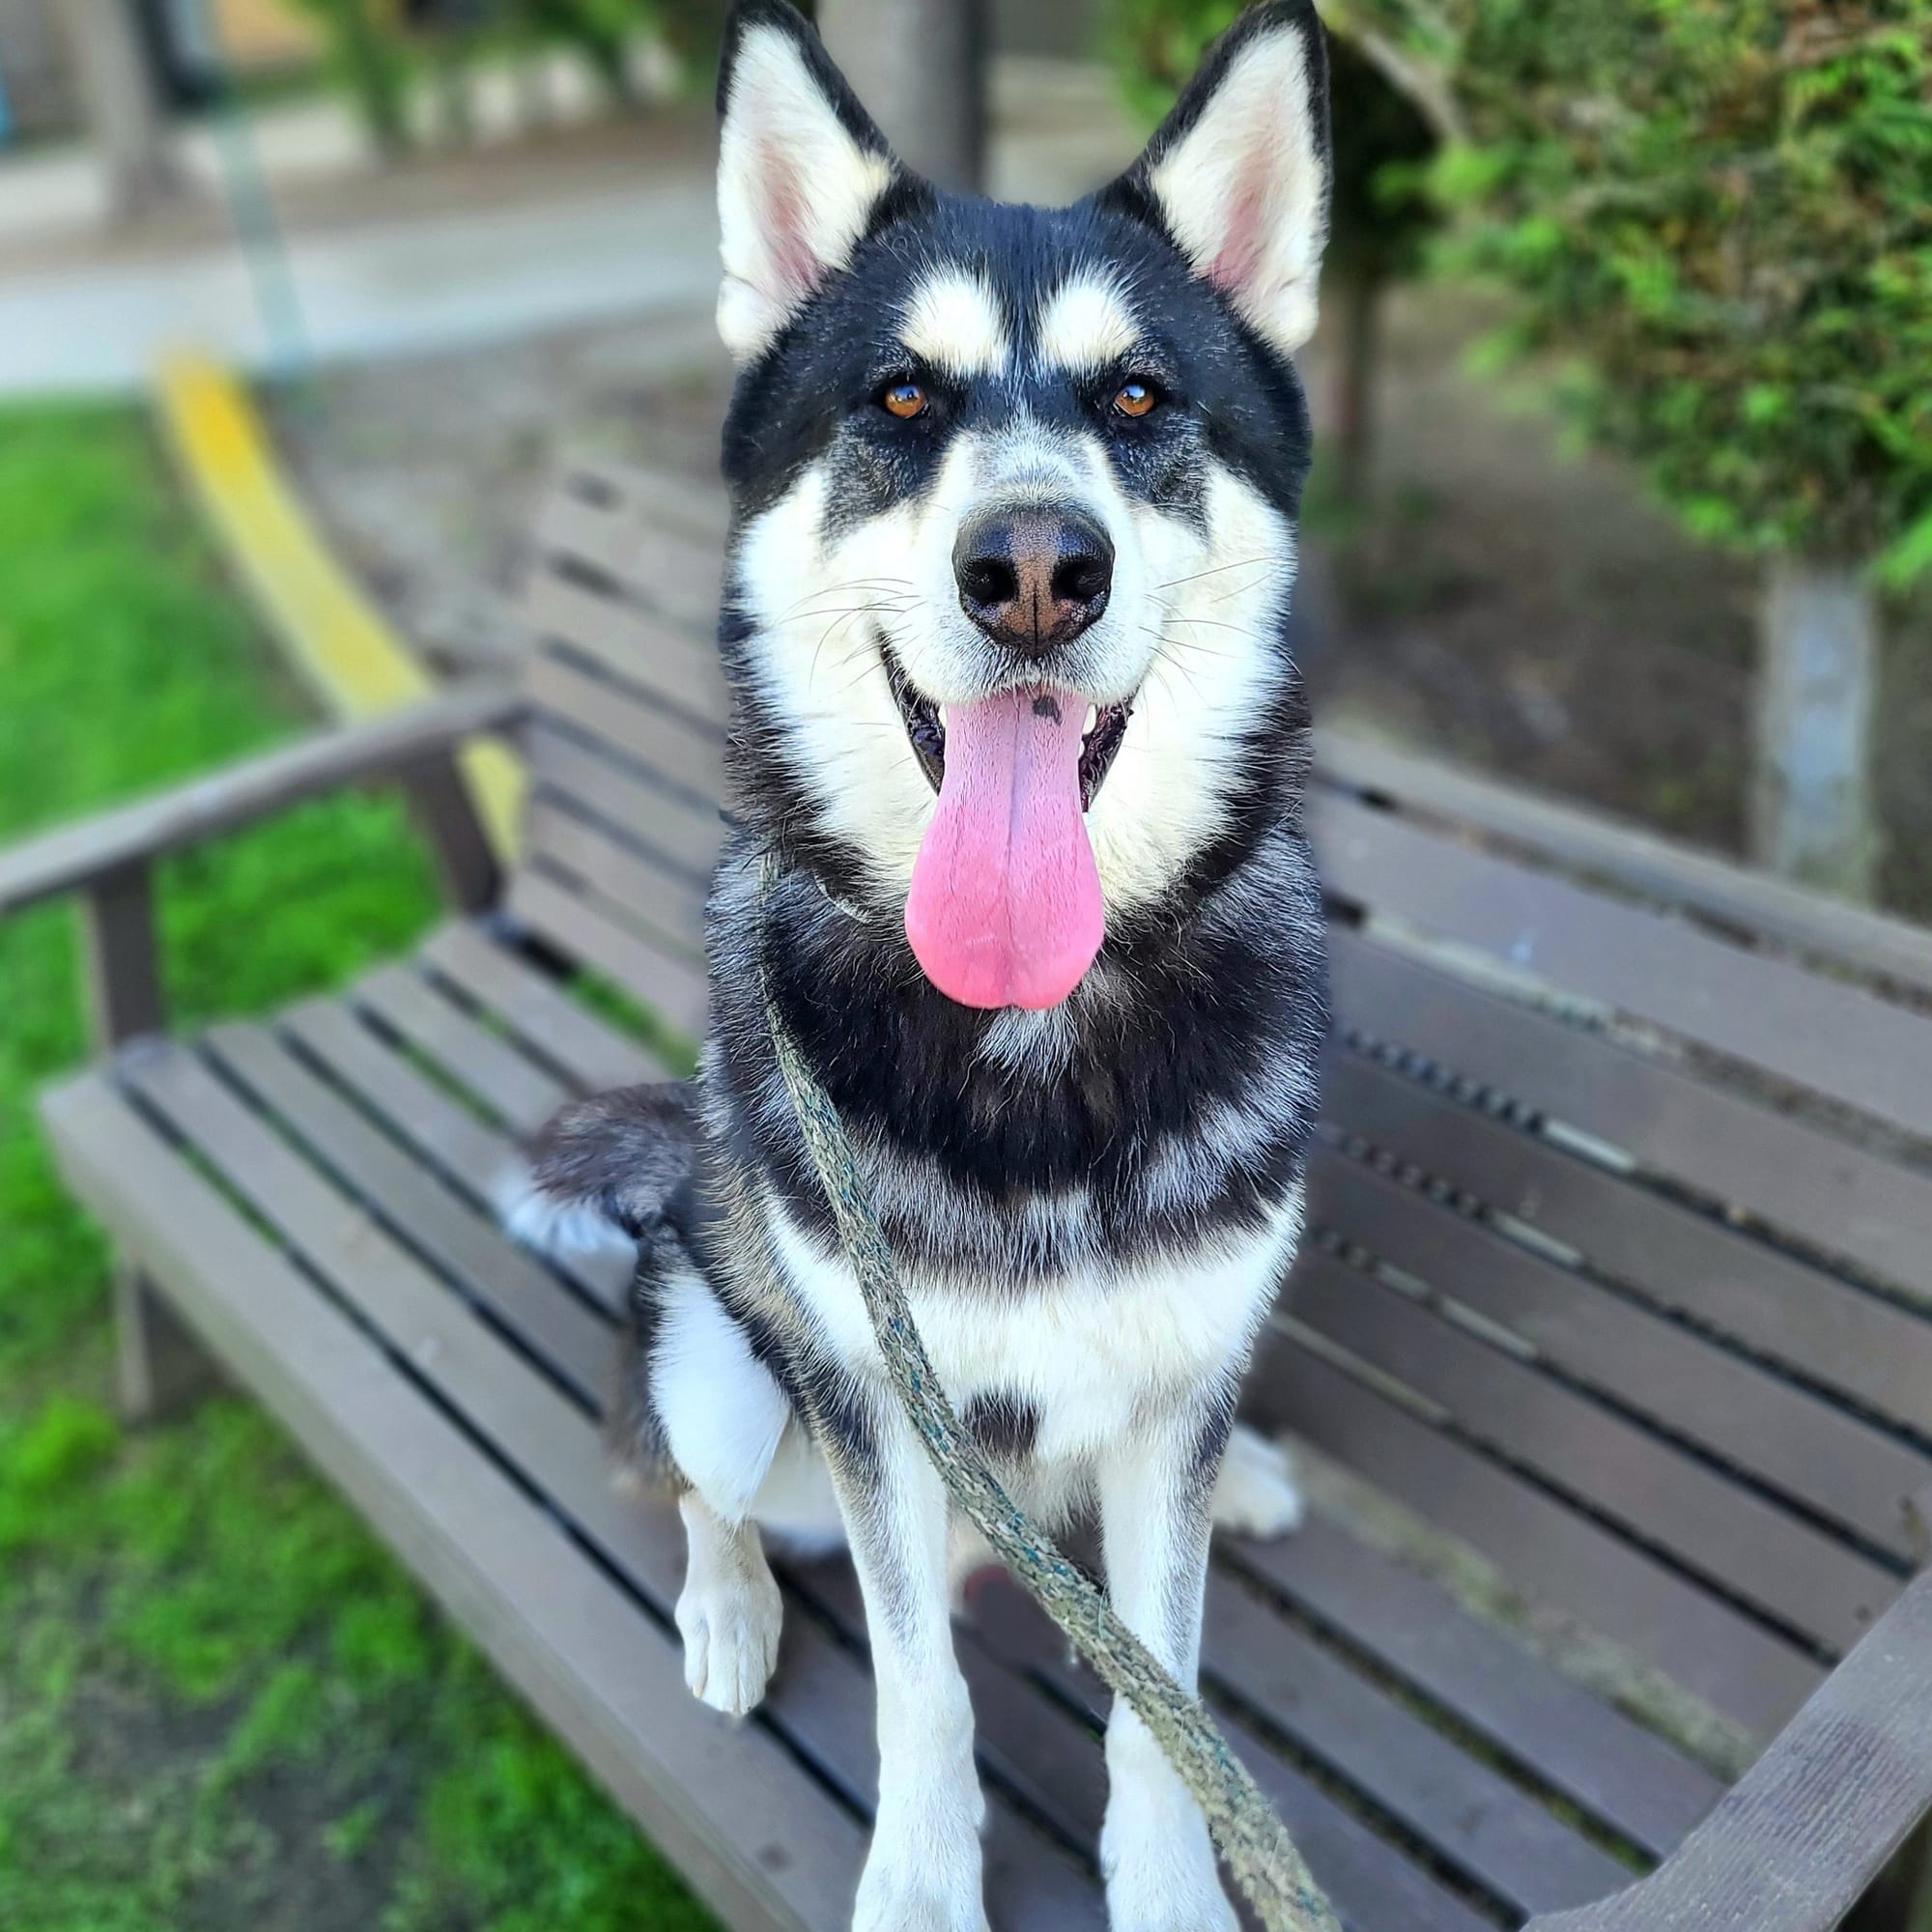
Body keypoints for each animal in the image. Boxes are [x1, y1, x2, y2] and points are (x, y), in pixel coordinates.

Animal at [514, 7, 1329, 1924]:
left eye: (1138, 399)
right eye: (900, 400)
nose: (1033, 565)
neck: (1026, 1030)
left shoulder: (1166, 1405)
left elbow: (1161, 1705)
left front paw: (1172, 1889)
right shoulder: (879, 1413)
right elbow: (920, 1692)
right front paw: (921, 1882)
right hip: (725, 1362)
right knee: (695, 1485)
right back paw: (727, 1607)